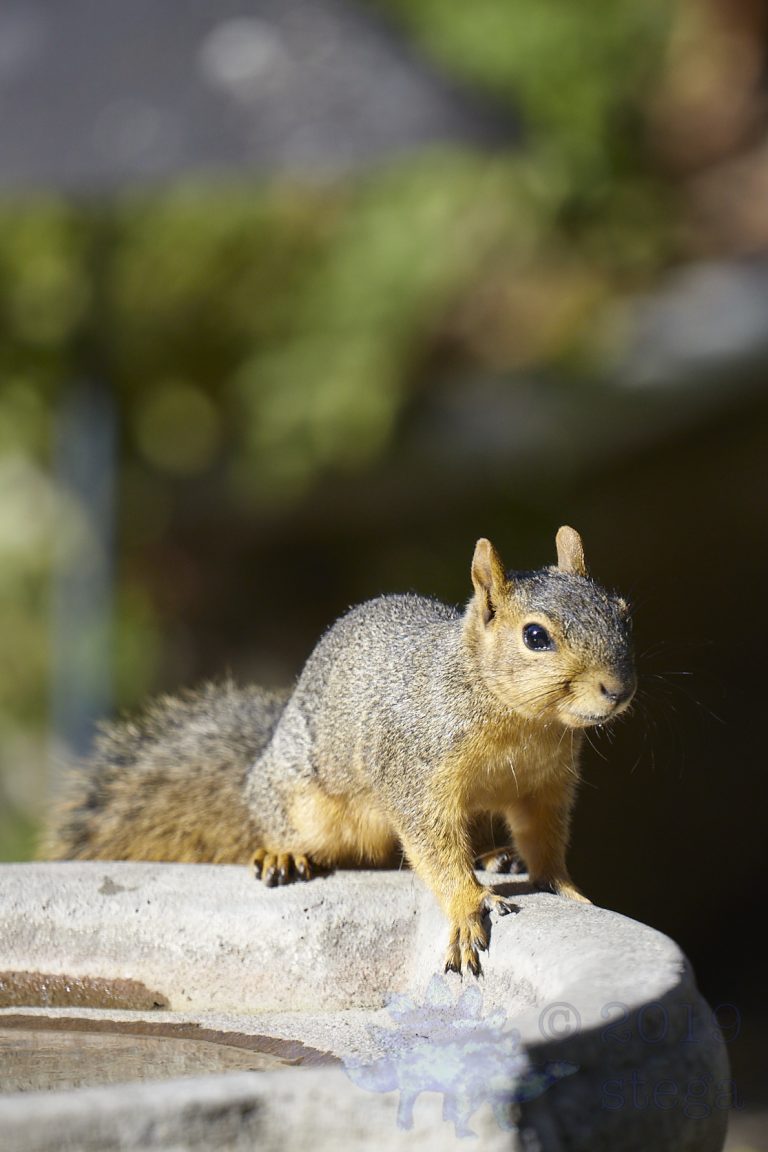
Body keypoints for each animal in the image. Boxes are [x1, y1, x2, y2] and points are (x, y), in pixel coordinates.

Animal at [45, 526, 636, 975]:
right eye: (535, 636)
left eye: (625, 612)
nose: (618, 688)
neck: (522, 723)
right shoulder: (415, 773)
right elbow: (434, 847)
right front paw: (470, 905)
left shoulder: (546, 784)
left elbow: (544, 838)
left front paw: (564, 886)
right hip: (302, 802)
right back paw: (282, 853)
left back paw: (496, 856)